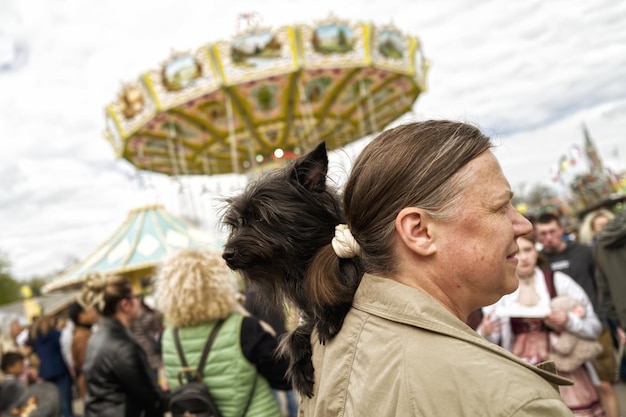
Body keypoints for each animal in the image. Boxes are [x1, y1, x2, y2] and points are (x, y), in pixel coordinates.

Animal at [221, 141, 358, 396]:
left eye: (261, 216)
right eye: (237, 224)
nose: (226, 255)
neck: (302, 265)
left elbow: (348, 271)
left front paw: (331, 311)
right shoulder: (307, 317)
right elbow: (293, 335)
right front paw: (299, 368)